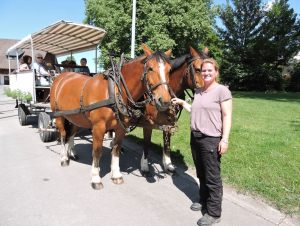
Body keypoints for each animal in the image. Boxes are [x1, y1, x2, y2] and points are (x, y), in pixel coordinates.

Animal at [50, 44, 172, 189]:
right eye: (150, 68)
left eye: (170, 70)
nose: (164, 101)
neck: (115, 91)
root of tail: (60, 76)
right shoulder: (98, 127)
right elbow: (97, 151)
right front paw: (96, 178)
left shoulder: (120, 128)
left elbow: (116, 149)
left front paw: (116, 175)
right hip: (59, 115)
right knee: (63, 134)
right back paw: (64, 157)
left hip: (75, 116)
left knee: (71, 134)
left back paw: (72, 153)